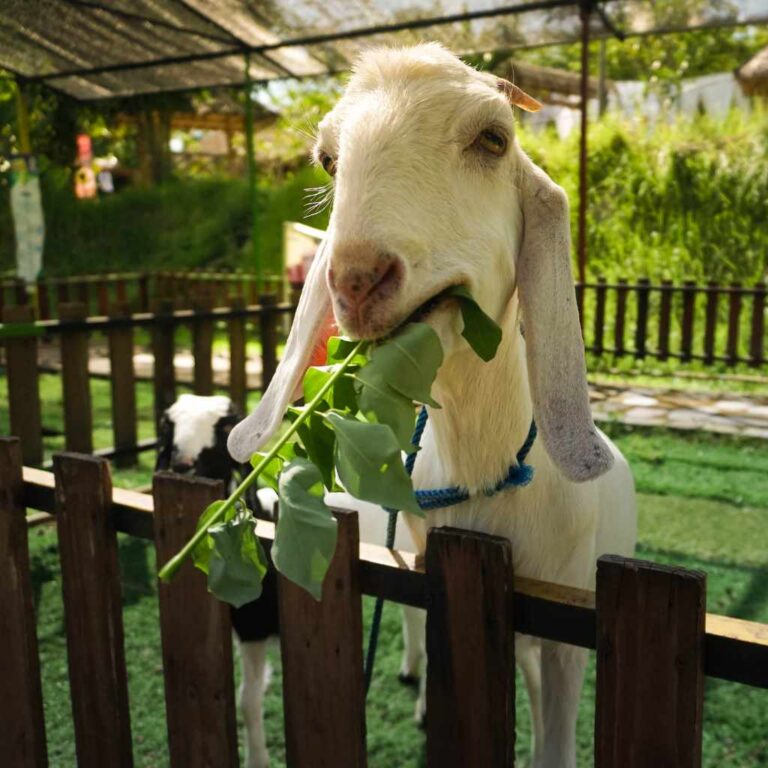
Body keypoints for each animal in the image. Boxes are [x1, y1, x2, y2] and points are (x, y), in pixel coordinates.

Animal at [158, 393, 425, 768]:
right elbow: (247, 700)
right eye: (168, 430)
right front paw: (257, 758)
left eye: (224, 430)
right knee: (412, 614)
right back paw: (409, 668)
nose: (181, 466)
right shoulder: (251, 629)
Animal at [228, 44, 637, 768]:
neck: (490, 483)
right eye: (329, 160)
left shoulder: (569, 636)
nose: (357, 279)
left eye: (494, 139)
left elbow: (557, 737)